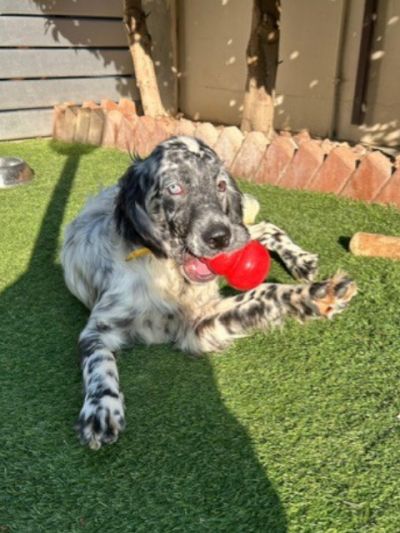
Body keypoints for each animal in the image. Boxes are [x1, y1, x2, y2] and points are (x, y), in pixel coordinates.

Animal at [61, 136, 357, 449]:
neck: (171, 274)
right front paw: (101, 408)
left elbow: (266, 291)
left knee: (264, 228)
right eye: (175, 187)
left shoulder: (197, 322)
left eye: (221, 185)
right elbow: (99, 362)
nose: (219, 237)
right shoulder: (98, 329)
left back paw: (300, 260)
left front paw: (314, 294)